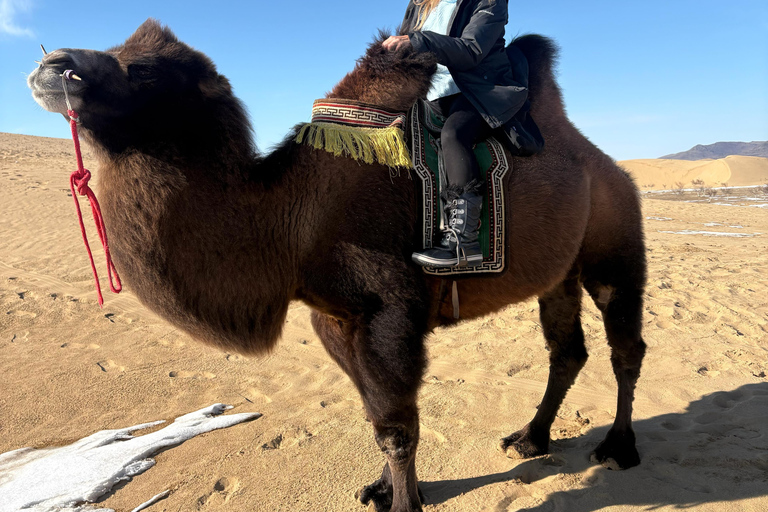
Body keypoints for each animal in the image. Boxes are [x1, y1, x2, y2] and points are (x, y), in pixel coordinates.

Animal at [28, 20, 647, 512]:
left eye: (146, 71)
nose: (50, 66)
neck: (290, 223)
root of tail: (606, 164)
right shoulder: (334, 319)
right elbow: (379, 415)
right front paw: (384, 490)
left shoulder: (387, 314)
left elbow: (397, 426)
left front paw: (406, 504)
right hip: (560, 272)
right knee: (567, 350)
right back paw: (531, 439)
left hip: (615, 241)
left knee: (624, 347)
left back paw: (619, 448)